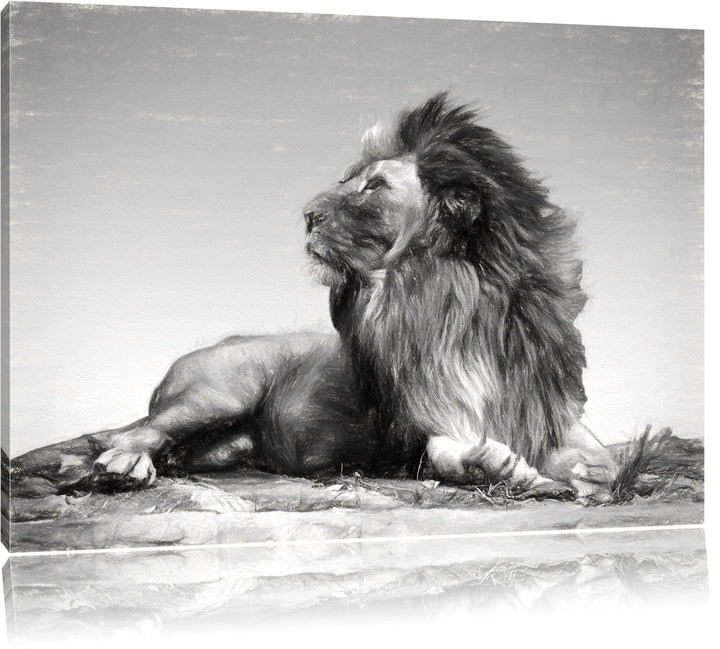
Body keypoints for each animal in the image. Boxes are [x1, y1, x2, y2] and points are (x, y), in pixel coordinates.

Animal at [13, 93, 616, 501]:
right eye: (349, 181)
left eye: (375, 187)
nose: (306, 215)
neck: (446, 294)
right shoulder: (407, 431)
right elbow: (444, 451)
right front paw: (498, 467)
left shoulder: (549, 413)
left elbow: (597, 459)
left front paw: (583, 475)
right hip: (216, 393)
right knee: (133, 432)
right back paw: (124, 464)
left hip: (229, 444)